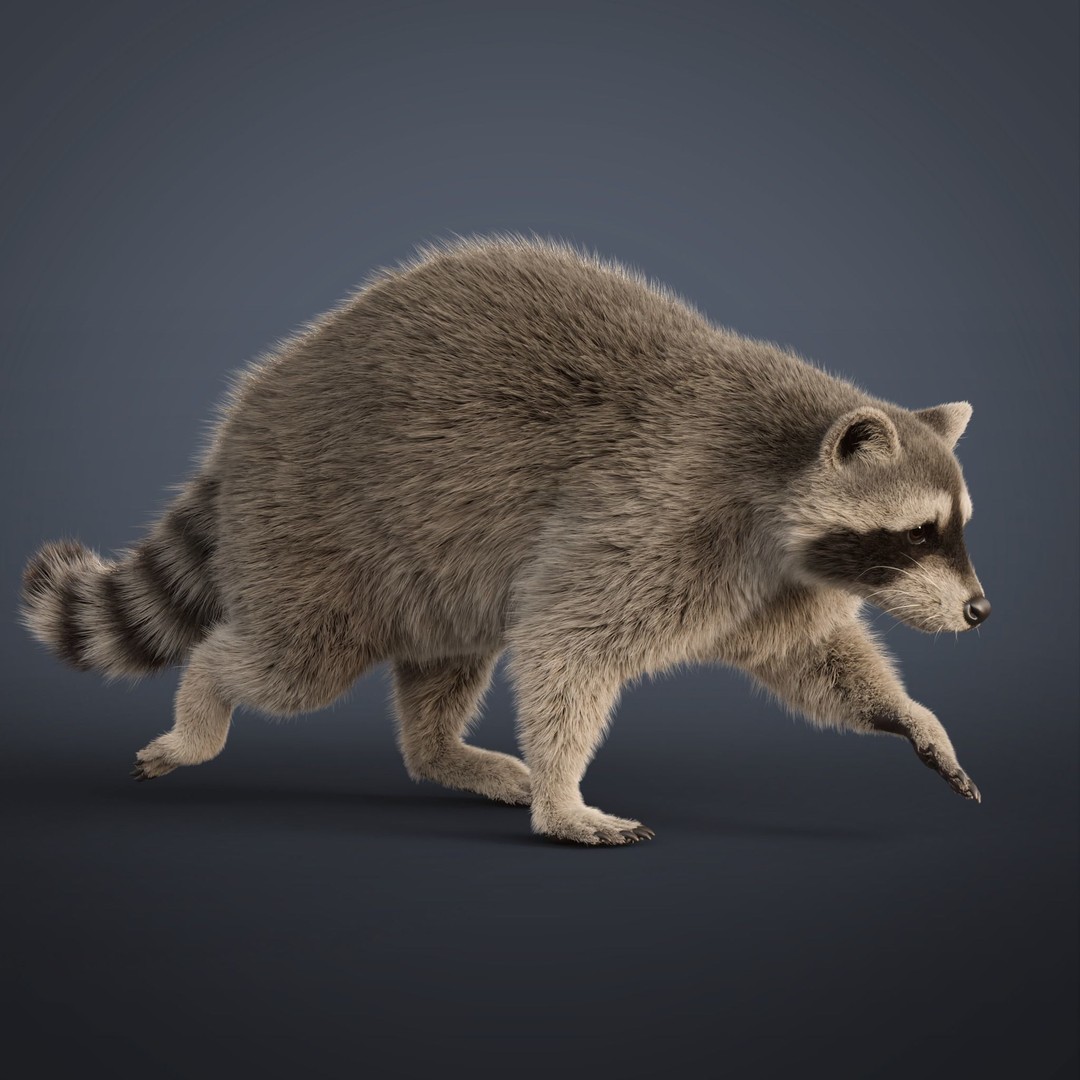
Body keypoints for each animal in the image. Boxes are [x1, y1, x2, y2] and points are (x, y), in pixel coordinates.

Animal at [22, 236, 990, 845]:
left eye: (959, 528)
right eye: (920, 531)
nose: (981, 611)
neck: (781, 464)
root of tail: (254, 407)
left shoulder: (770, 578)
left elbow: (813, 659)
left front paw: (911, 716)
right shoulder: (664, 511)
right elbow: (569, 645)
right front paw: (565, 800)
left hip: (430, 565)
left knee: (443, 661)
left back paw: (441, 752)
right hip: (316, 523)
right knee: (293, 662)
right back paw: (204, 703)